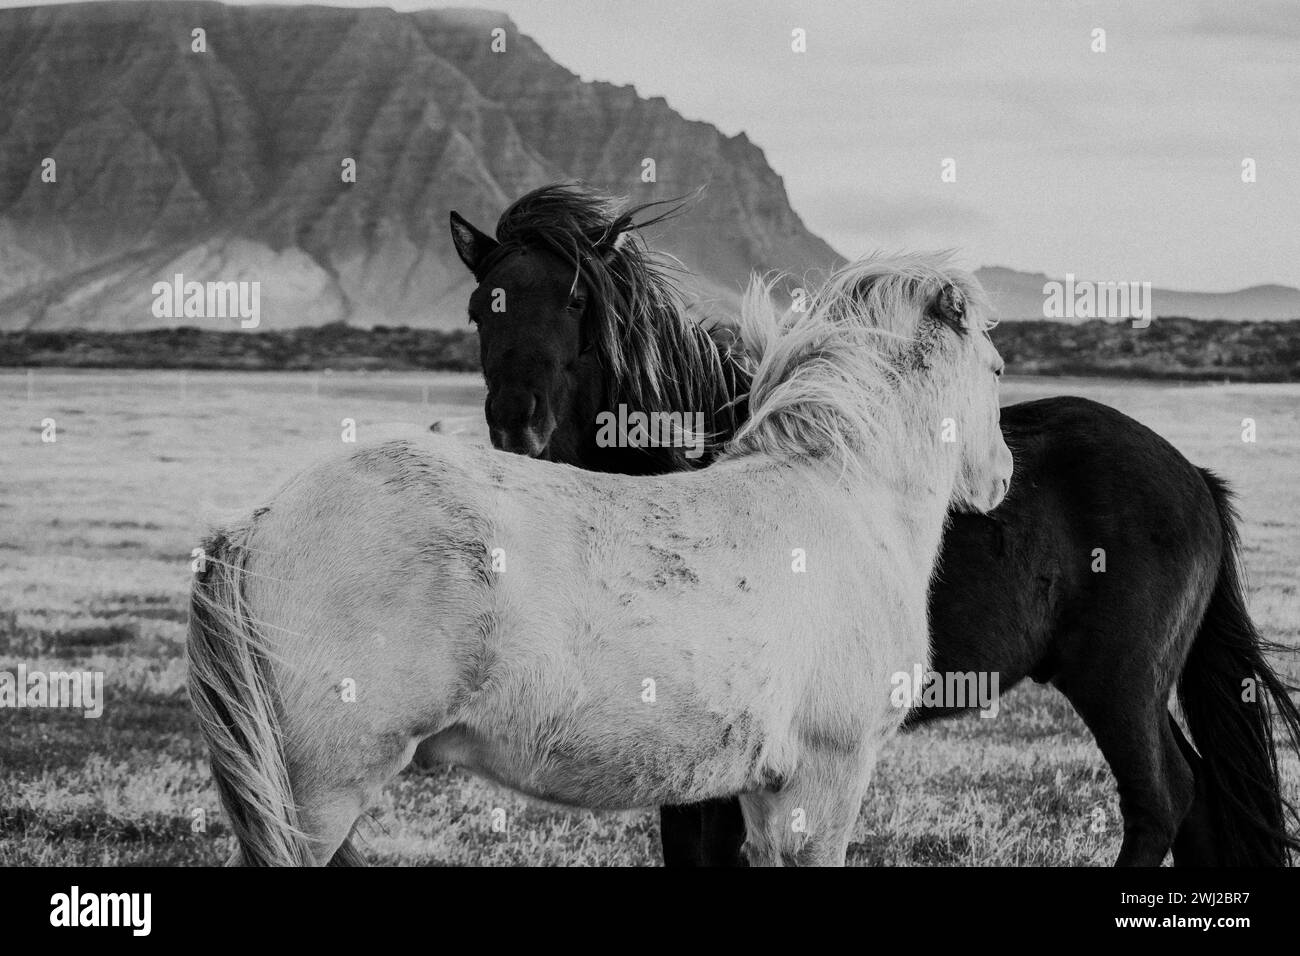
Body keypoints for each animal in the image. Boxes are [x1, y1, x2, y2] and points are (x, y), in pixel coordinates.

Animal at [187, 254, 1014, 866]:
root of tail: (256, 524)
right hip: (321, 793)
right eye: (1000, 369)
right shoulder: (825, 777)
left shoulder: (766, 791)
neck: (846, 494)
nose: (1003, 475)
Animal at [449, 182, 1300, 867]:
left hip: (1120, 684)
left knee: (1162, 801)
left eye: (575, 302)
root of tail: (1193, 478)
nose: (516, 426)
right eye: (480, 308)